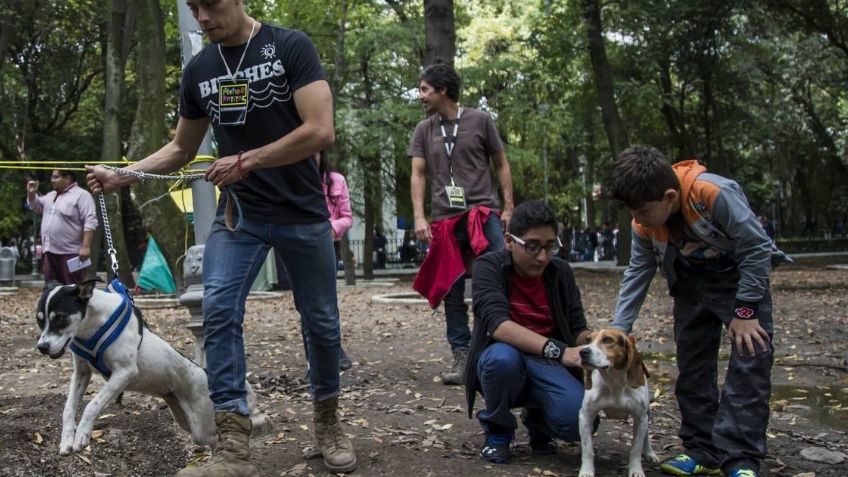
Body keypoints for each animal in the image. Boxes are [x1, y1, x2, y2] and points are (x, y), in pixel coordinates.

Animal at [36, 278, 264, 454]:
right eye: (40, 321)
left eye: (60, 318)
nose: (42, 347)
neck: (91, 326)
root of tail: (205, 373)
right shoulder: (81, 373)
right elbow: (68, 409)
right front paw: (67, 439)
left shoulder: (124, 372)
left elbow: (92, 405)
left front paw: (82, 435)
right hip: (184, 418)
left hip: (201, 427)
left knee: (217, 438)